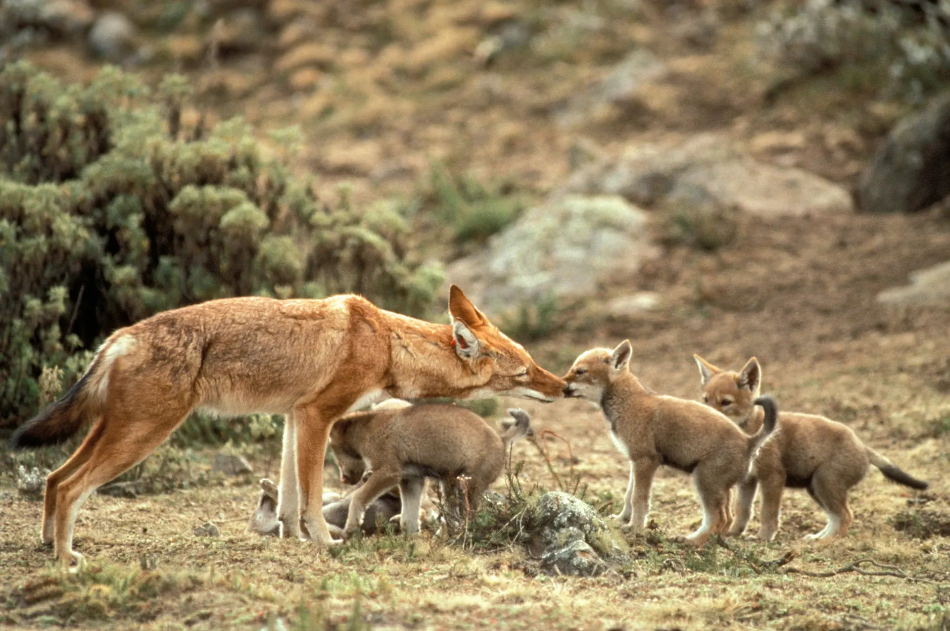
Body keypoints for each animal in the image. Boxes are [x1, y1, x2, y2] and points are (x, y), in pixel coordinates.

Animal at [9, 286, 564, 568]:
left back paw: (45, 546)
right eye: (523, 372)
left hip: (118, 434)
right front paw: (325, 543)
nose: (562, 386)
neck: (386, 342)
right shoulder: (317, 416)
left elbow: (290, 498)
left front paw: (293, 540)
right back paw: (66, 556)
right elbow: (314, 497)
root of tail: (120, 337)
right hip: (141, 436)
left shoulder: (295, 417)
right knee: (72, 486)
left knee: (55, 479)